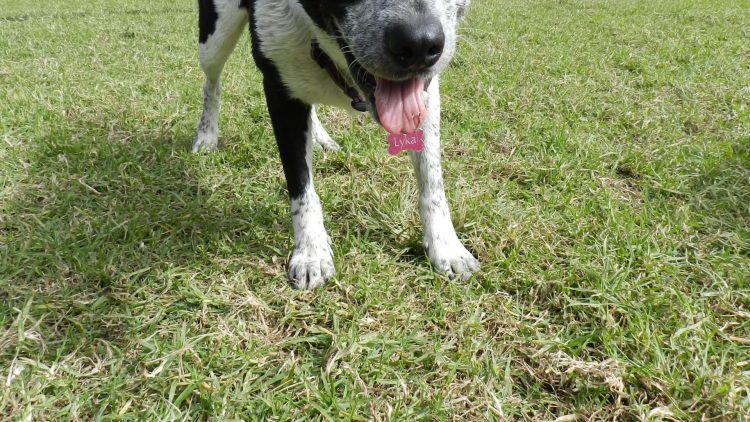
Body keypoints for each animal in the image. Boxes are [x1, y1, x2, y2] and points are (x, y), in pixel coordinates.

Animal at [191, 0, 478, 290]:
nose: (419, 44)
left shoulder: (426, 94)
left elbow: (432, 181)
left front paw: (447, 247)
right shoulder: (279, 88)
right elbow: (301, 184)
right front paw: (310, 252)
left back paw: (319, 137)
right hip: (214, 38)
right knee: (211, 82)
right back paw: (207, 135)